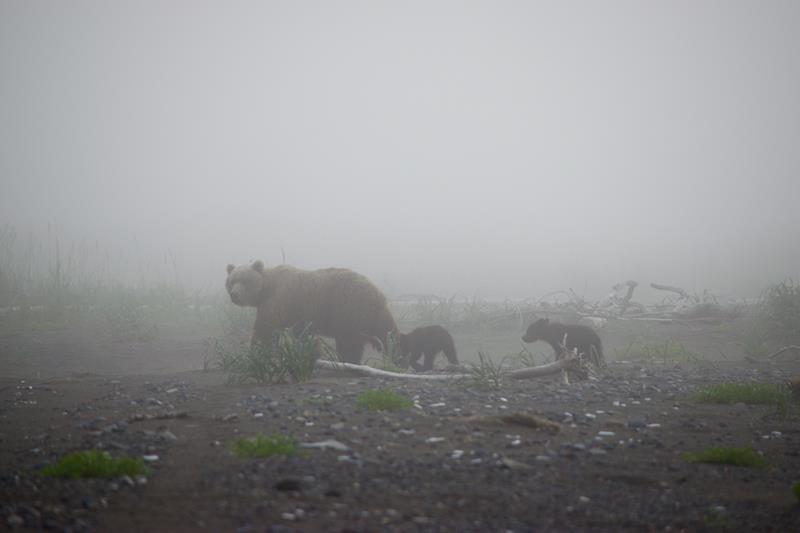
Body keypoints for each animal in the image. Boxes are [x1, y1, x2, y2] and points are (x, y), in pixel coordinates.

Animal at [225, 261, 398, 364]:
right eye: (232, 281)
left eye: (244, 281)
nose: (234, 295)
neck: (266, 289)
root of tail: (378, 293)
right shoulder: (297, 314)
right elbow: (303, 335)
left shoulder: (280, 300)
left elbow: (265, 329)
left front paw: (256, 352)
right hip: (367, 315)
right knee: (385, 334)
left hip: (350, 308)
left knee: (352, 341)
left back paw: (349, 360)